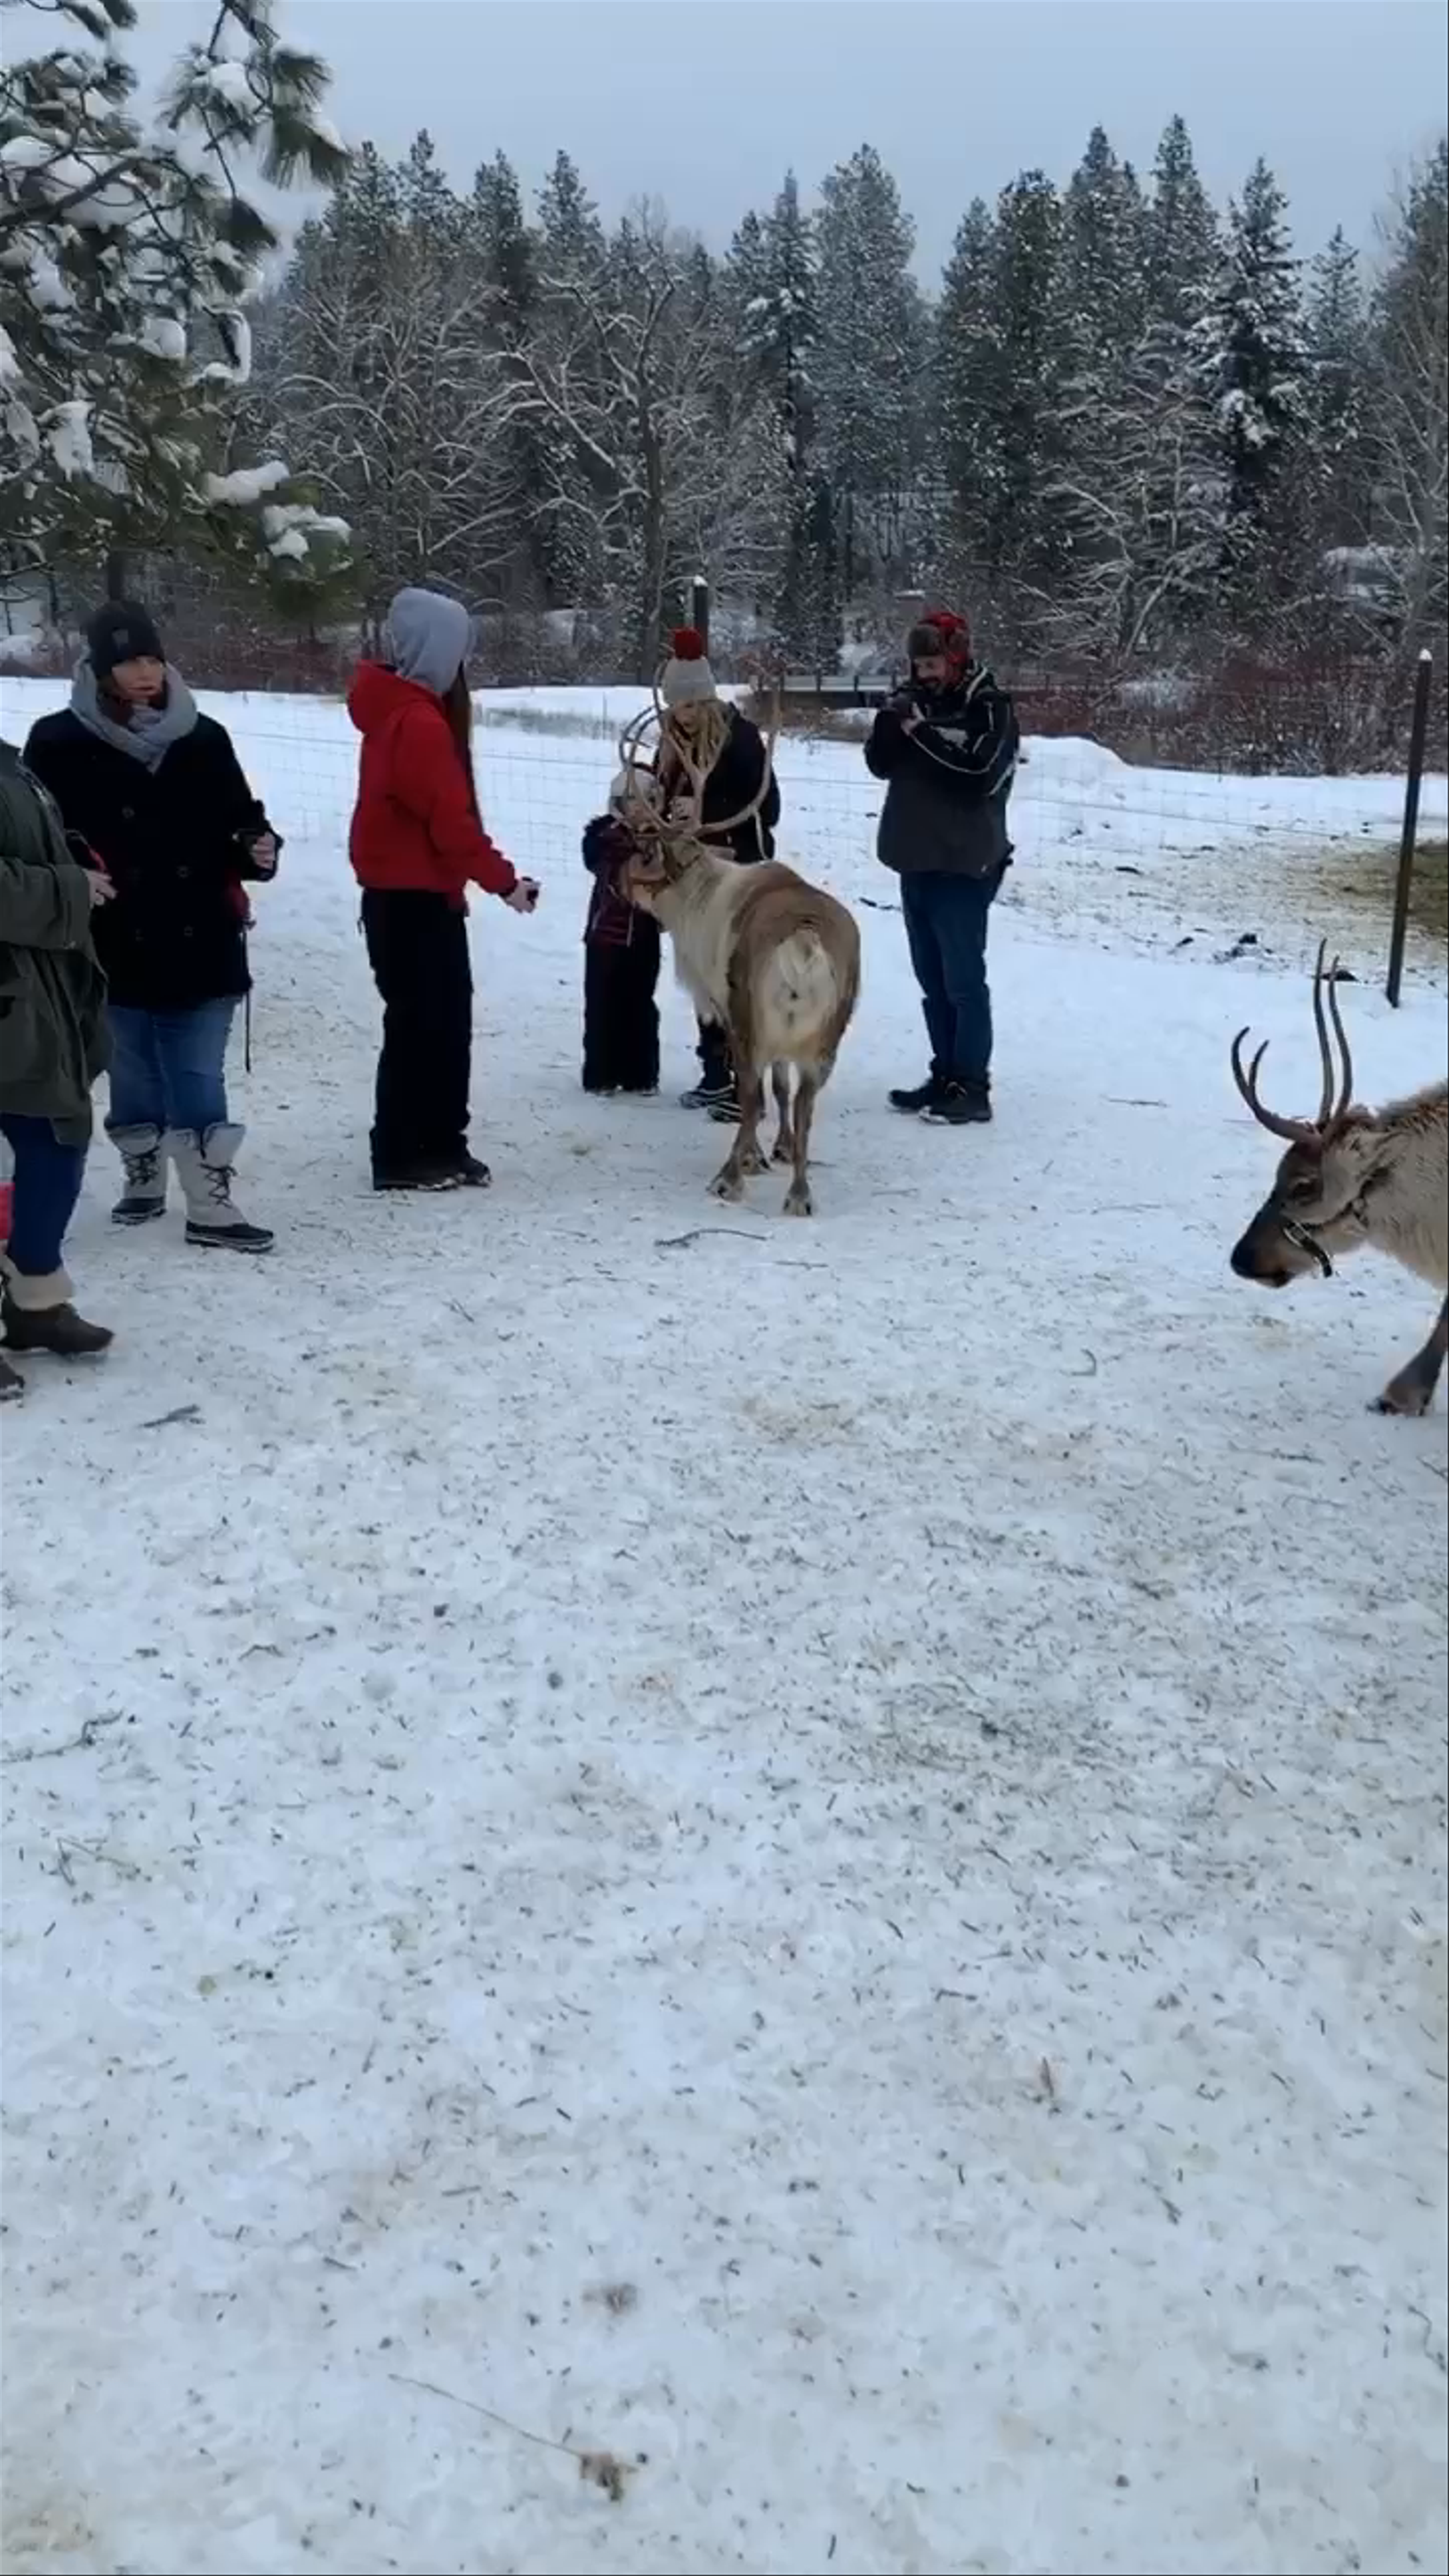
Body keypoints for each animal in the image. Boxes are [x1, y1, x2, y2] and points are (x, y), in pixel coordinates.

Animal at [611, 706, 860, 1216]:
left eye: (641, 849)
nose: (617, 883)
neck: (695, 902)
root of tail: (805, 942)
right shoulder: (788, 1043)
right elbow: (782, 1089)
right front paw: (781, 1148)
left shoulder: (724, 1006)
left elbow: (756, 1095)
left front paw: (754, 1157)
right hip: (826, 1036)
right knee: (806, 1105)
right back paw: (800, 1194)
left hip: (752, 1018)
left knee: (750, 1094)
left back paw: (728, 1177)